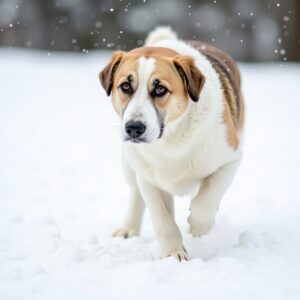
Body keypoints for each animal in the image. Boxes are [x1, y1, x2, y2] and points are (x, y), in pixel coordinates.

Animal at [98, 26, 244, 260]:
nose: (134, 128)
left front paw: (198, 227)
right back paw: (128, 228)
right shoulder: (147, 176)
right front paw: (172, 253)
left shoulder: (231, 158)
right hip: (128, 163)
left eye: (160, 90)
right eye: (126, 86)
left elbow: (206, 200)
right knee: (136, 195)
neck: (170, 140)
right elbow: (162, 218)